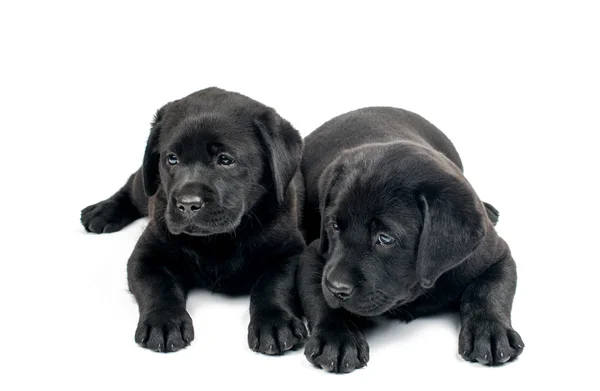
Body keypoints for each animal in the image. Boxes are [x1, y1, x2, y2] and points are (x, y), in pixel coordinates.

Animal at [81, 88, 310, 356]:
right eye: (171, 159)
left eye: (225, 159)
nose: (188, 204)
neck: (217, 240)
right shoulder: (147, 254)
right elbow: (157, 286)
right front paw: (163, 322)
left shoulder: (290, 251)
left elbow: (275, 284)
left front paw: (275, 323)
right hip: (145, 187)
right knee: (132, 185)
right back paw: (101, 212)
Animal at [298, 107, 524, 374]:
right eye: (333, 226)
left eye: (385, 238)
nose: (336, 288)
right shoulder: (314, 255)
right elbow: (319, 298)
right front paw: (336, 338)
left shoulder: (496, 255)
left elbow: (488, 291)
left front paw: (490, 332)